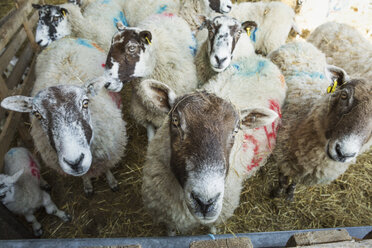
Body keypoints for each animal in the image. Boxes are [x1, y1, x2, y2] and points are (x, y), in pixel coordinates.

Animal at [1, 37, 127, 196]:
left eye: (85, 103)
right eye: (37, 114)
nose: (74, 162)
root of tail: (64, 39)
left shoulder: (109, 151)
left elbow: (107, 168)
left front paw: (112, 181)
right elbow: (84, 176)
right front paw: (87, 185)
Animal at [140, 79, 282, 234]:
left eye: (236, 130)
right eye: (175, 121)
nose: (205, 202)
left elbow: (212, 230)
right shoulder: (168, 215)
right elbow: (171, 230)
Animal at [268, 40, 372, 200]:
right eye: (344, 95)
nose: (343, 153)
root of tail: (301, 43)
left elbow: (294, 182)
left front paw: (290, 193)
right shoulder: (282, 156)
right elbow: (282, 179)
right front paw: (277, 193)